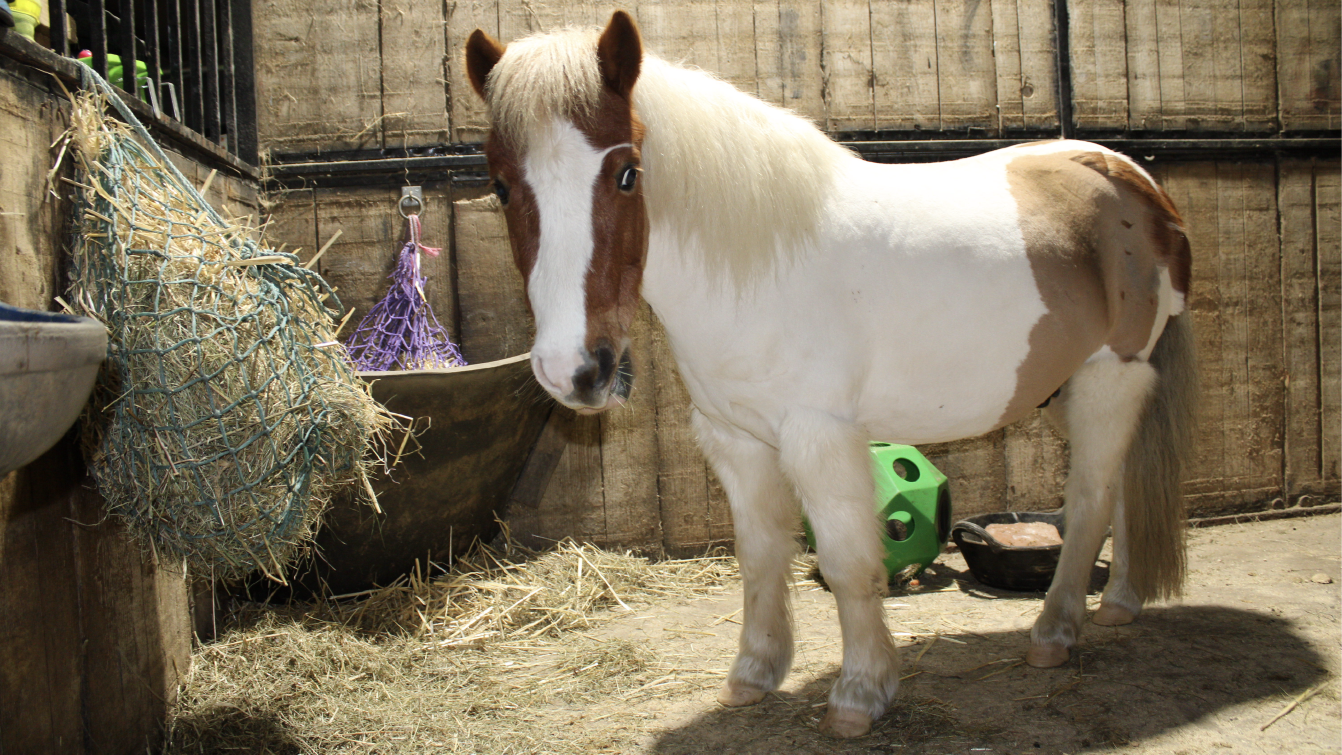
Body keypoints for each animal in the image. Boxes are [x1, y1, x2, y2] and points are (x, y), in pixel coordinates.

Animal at [464, 13, 1197, 740]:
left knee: (1091, 500)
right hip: (1066, 389)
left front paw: (861, 693)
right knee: (1123, 487)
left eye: (626, 174)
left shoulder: (820, 437)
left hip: (1108, 379)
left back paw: (1055, 631)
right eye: (501, 184)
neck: (760, 262)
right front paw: (754, 673)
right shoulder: (735, 440)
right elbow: (760, 554)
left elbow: (848, 564)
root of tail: (1134, 180)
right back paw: (1119, 603)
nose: (574, 370)